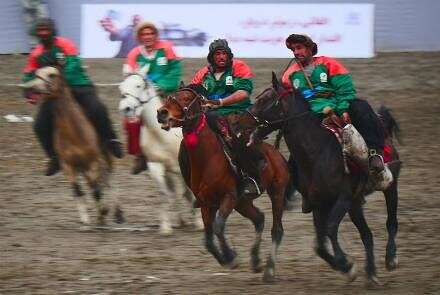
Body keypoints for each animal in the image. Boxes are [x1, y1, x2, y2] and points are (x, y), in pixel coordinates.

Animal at [119, 67, 204, 236]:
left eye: (138, 85)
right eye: (122, 87)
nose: (126, 108)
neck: (165, 136)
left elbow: (190, 192)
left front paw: (199, 223)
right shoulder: (156, 165)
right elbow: (165, 194)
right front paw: (166, 226)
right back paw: (181, 220)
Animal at [156, 84, 290, 284]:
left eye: (187, 98)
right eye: (171, 96)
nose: (162, 113)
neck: (208, 157)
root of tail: (274, 152)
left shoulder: (229, 197)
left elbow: (218, 227)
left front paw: (230, 257)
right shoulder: (206, 203)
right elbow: (208, 239)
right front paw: (226, 258)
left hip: (276, 192)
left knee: (277, 229)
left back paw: (269, 271)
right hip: (243, 203)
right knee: (259, 219)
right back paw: (256, 261)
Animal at [248, 72, 402, 286]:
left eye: (265, 100)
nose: (243, 119)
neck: (318, 152)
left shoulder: (343, 198)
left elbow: (329, 230)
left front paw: (346, 264)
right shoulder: (319, 203)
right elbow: (320, 244)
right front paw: (346, 267)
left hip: (389, 187)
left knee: (391, 222)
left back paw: (391, 258)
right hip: (355, 204)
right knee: (367, 235)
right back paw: (371, 273)